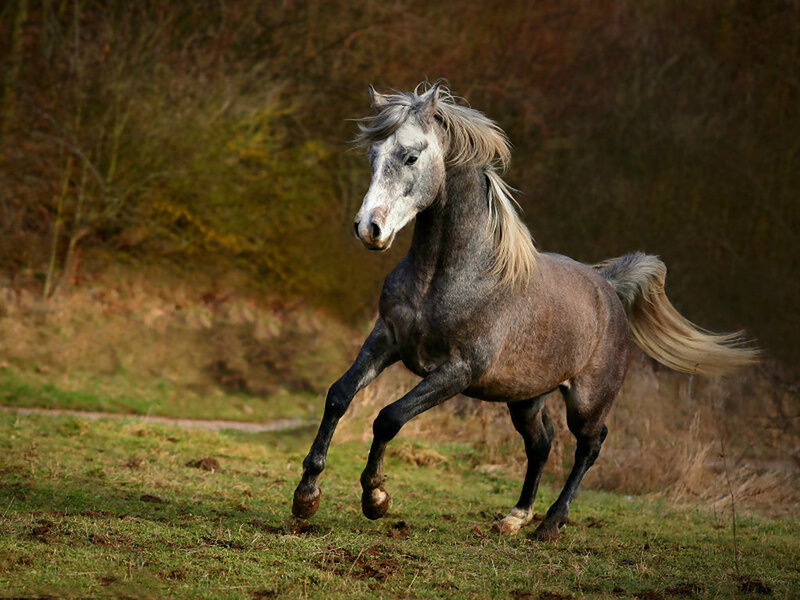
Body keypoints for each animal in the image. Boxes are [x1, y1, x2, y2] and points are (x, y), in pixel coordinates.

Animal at [291, 81, 757, 541]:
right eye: (372, 155)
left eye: (410, 155)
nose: (369, 228)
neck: (453, 275)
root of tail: (609, 288)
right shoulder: (385, 339)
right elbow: (338, 395)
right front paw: (305, 497)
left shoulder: (458, 370)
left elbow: (389, 418)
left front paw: (376, 499)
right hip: (525, 397)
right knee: (541, 443)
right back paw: (515, 517)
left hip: (587, 401)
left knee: (590, 444)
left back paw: (550, 524)